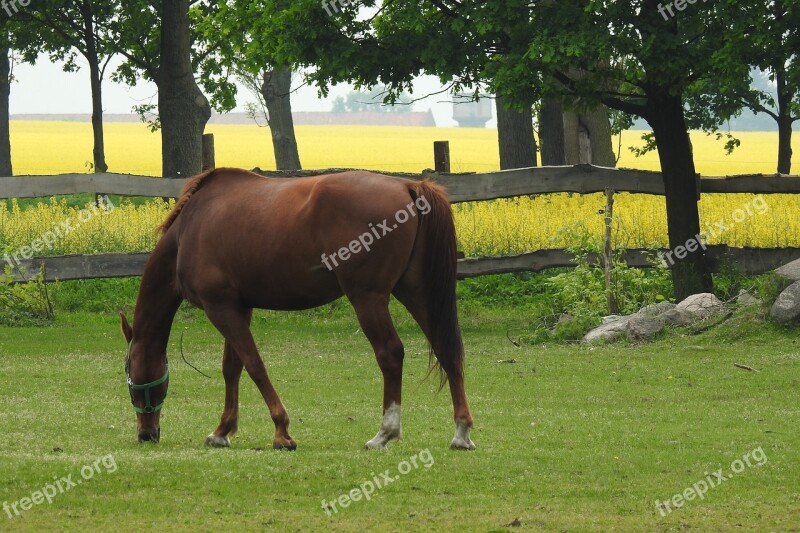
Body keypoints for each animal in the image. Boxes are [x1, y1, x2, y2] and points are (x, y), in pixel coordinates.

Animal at [120, 166, 476, 448]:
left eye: (129, 373)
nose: (146, 434)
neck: (189, 229)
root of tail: (408, 186)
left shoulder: (219, 307)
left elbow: (254, 365)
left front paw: (281, 431)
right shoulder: (238, 307)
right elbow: (232, 368)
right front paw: (222, 430)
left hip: (368, 298)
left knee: (390, 354)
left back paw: (385, 433)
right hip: (416, 292)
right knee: (446, 351)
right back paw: (461, 433)